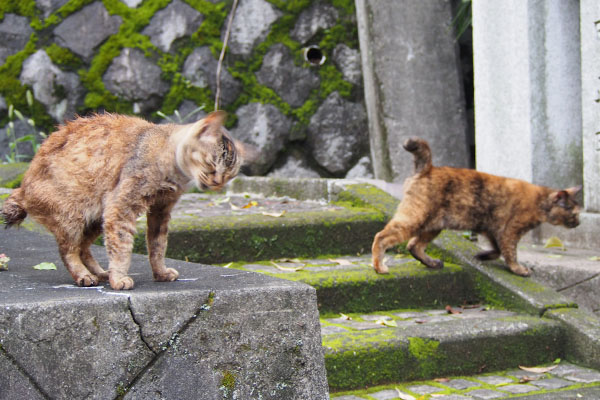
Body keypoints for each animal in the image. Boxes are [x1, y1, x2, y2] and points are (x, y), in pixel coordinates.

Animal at [2, 111, 241, 290]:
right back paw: (84, 276)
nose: (218, 183)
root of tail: (22, 189)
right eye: (212, 164)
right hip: (73, 216)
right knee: (68, 251)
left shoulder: (160, 211)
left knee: (83, 249)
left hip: (95, 219)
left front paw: (160, 273)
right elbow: (122, 249)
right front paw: (119, 279)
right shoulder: (121, 207)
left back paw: (100, 273)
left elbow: (157, 246)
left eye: (230, 175)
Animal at [372, 138, 580, 276]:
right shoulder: (510, 231)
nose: (578, 223)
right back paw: (379, 267)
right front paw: (518, 269)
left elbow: (497, 250)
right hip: (415, 219)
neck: (540, 201)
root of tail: (428, 168)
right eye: (574, 213)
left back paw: (432, 263)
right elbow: (510, 253)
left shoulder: (492, 229)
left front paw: (482, 255)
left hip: (433, 226)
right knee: (381, 237)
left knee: (413, 246)